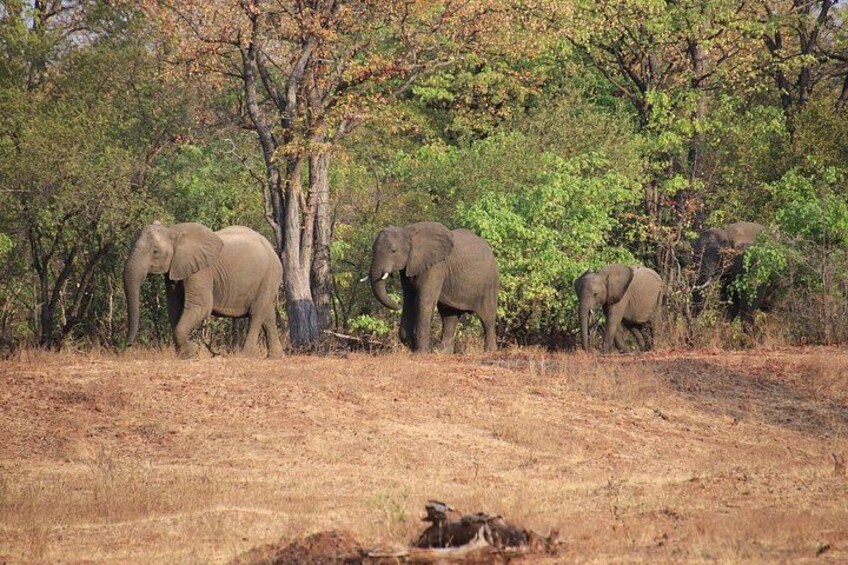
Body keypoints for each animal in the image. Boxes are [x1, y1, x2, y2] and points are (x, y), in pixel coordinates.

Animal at [124, 221, 283, 358]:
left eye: (155, 252)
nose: (128, 345)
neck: (172, 231)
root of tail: (272, 249)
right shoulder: (175, 269)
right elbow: (174, 307)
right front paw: (185, 354)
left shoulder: (201, 271)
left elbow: (201, 306)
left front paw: (191, 351)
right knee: (268, 314)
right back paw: (274, 357)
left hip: (270, 274)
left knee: (256, 313)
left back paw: (245, 355)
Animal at [366, 221, 499, 353]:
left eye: (393, 251)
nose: (397, 306)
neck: (407, 232)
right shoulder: (409, 266)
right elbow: (409, 299)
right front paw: (411, 345)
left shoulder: (436, 266)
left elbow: (424, 300)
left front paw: (419, 354)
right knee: (449, 316)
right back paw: (442, 353)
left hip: (490, 281)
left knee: (487, 317)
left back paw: (490, 352)